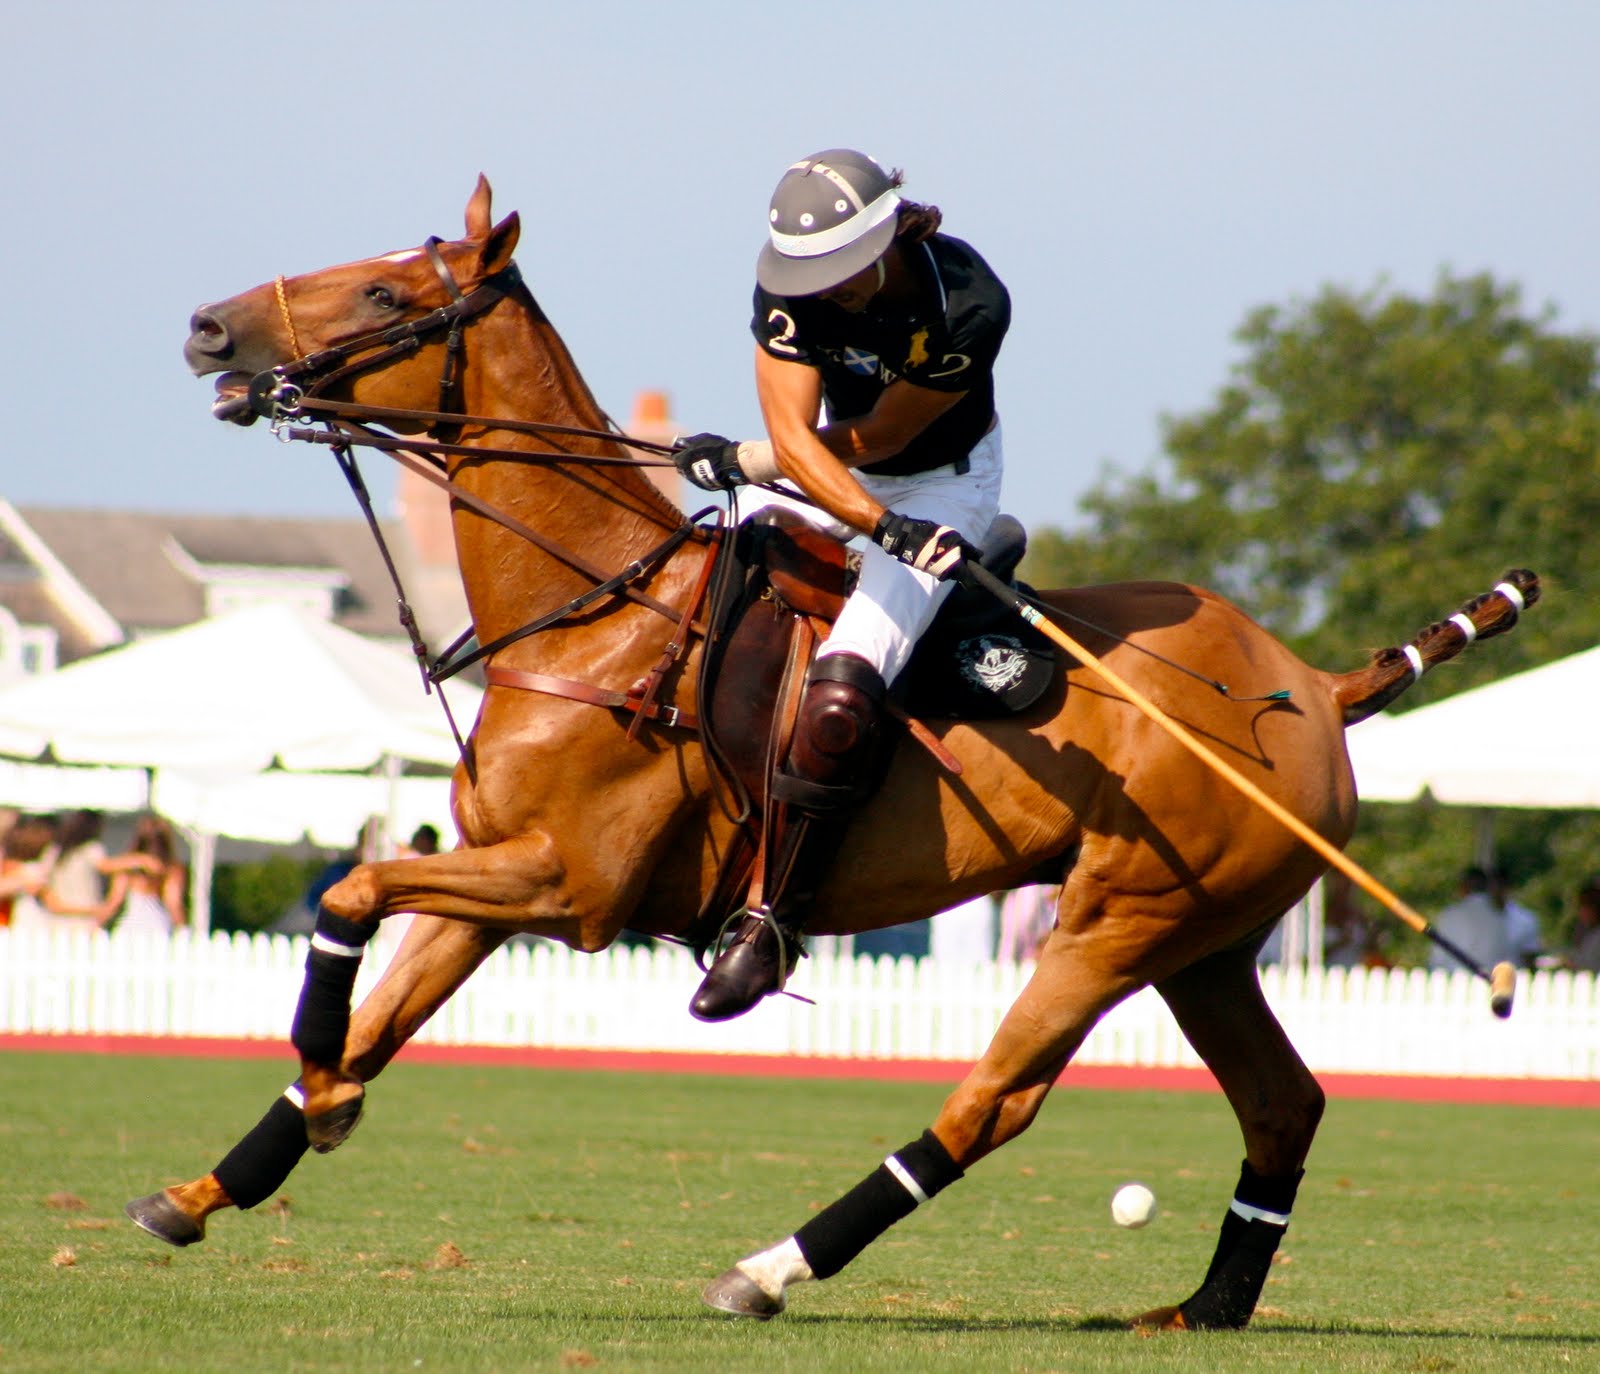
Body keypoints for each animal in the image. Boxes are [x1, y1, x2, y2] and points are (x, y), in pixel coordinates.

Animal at [134, 177, 1536, 1324]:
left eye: (384, 289)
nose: (206, 329)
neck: (593, 608)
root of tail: (1317, 686)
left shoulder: (568, 888)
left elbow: (349, 896)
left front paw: (319, 1085)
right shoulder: (492, 873)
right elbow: (382, 998)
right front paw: (220, 1178)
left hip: (1115, 922)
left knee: (994, 1101)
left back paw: (771, 1267)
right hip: (1207, 938)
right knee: (1284, 1101)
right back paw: (1206, 1307)